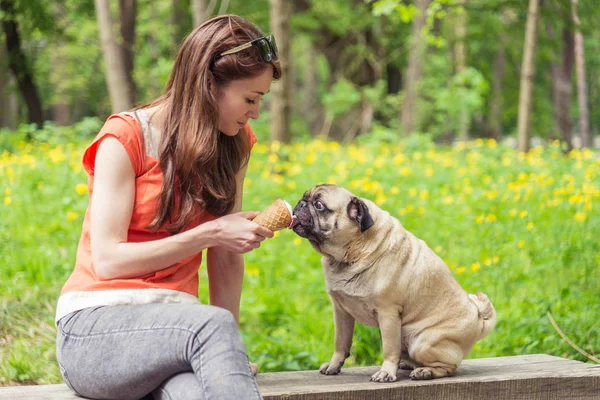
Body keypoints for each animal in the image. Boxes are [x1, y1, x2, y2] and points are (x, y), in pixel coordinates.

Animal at [292, 186, 496, 382]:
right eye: (304, 196)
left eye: (319, 205)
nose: (300, 204)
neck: (350, 254)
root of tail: (479, 321)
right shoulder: (341, 311)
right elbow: (340, 343)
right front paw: (334, 365)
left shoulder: (388, 313)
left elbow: (389, 349)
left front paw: (386, 373)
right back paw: (408, 364)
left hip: (422, 342)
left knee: (448, 368)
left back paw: (424, 372)